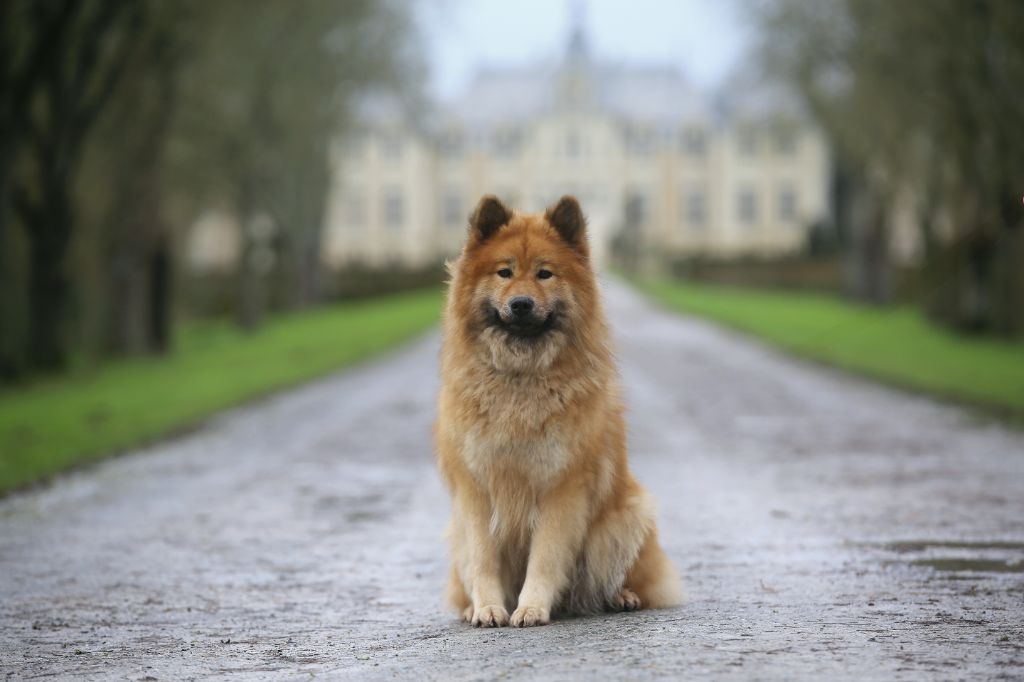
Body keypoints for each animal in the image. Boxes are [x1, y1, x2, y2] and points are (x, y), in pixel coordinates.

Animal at [432, 193, 679, 622]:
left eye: (544, 274)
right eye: (504, 272)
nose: (521, 304)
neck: (521, 377)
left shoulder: (562, 488)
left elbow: (545, 556)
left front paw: (531, 608)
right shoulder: (476, 489)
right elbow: (483, 559)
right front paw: (489, 608)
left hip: (628, 515)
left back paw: (622, 596)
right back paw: (470, 608)